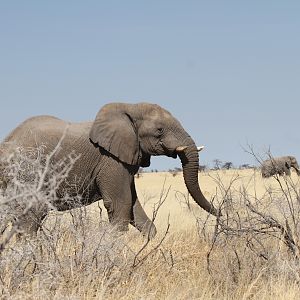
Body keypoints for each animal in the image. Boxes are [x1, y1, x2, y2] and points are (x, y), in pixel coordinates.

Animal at [0, 102, 218, 238]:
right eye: (159, 130)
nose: (220, 214)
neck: (129, 108)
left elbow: (133, 206)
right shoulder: (110, 161)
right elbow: (121, 205)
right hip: (27, 172)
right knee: (31, 217)